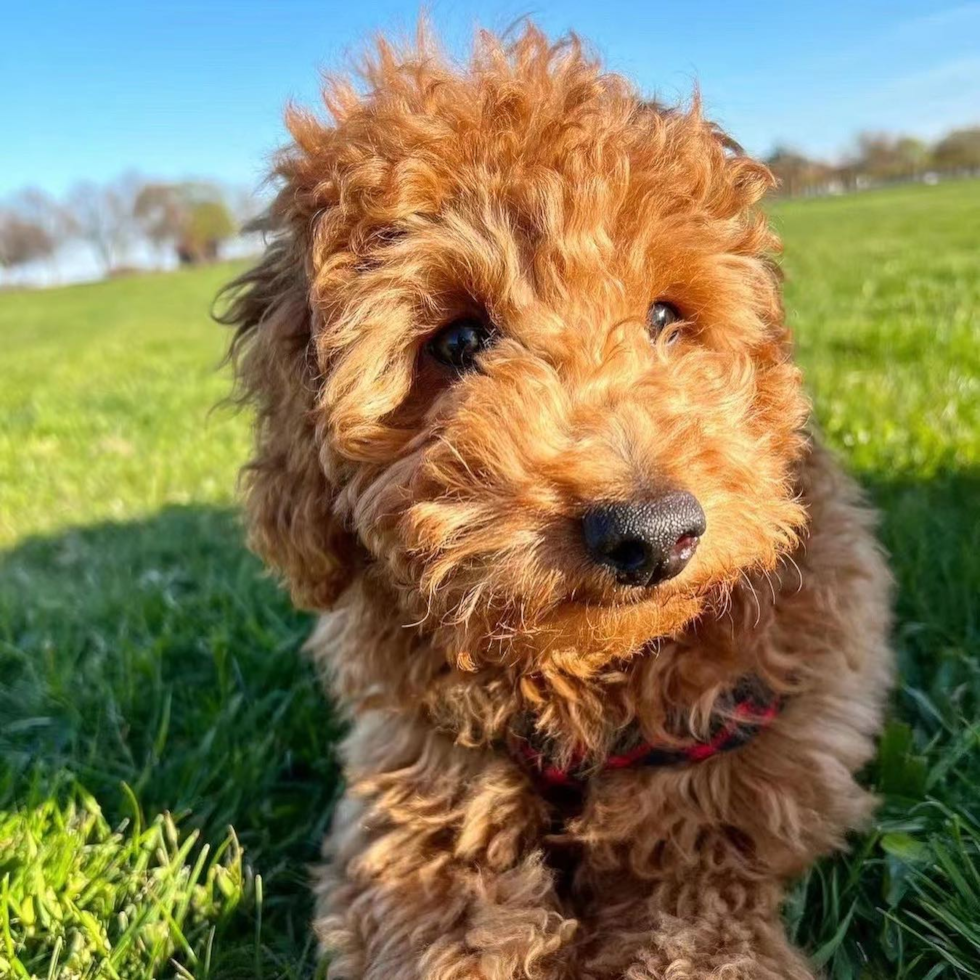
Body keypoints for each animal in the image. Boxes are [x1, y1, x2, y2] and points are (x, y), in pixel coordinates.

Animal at [222, 23, 896, 980]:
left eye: (666, 316)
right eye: (457, 341)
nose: (652, 534)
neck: (591, 685)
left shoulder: (722, 802)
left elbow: (693, 920)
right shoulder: (418, 797)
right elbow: (452, 921)